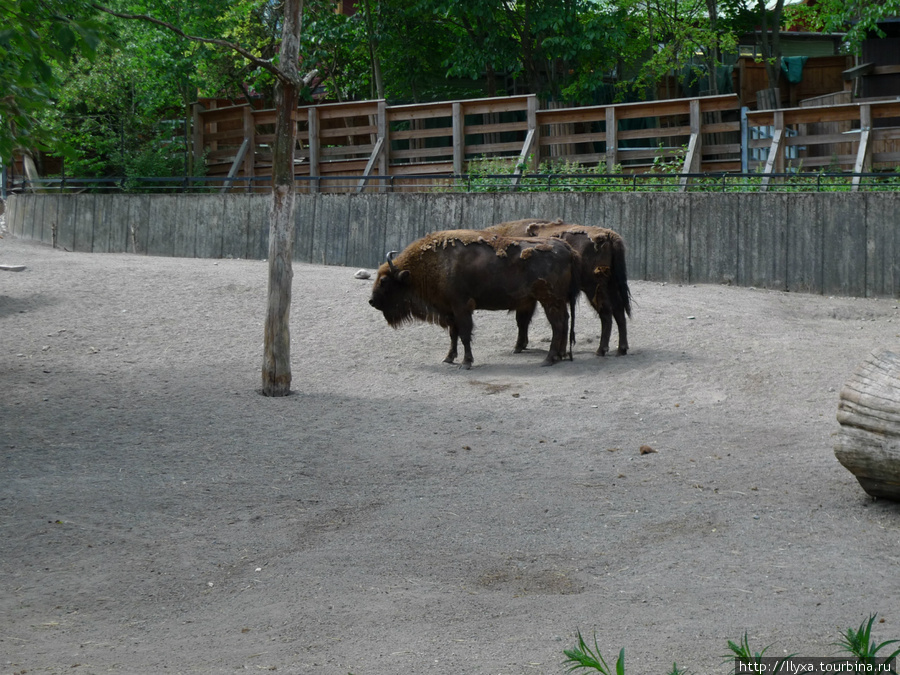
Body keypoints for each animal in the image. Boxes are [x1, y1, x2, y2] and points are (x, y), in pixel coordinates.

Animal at [370, 231, 580, 370]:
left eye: (384, 280)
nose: (371, 301)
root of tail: (567, 248)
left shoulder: (461, 308)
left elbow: (464, 334)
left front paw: (466, 363)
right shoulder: (450, 311)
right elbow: (453, 335)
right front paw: (448, 358)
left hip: (549, 300)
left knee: (558, 325)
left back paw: (548, 359)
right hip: (557, 301)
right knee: (564, 322)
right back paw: (559, 356)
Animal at [486, 222, 632, 360]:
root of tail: (610, 235)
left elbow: (522, 320)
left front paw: (518, 347)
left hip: (594, 287)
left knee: (606, 312)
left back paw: (601, 350)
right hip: (611, 285)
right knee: (618, 310)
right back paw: (621, 349)